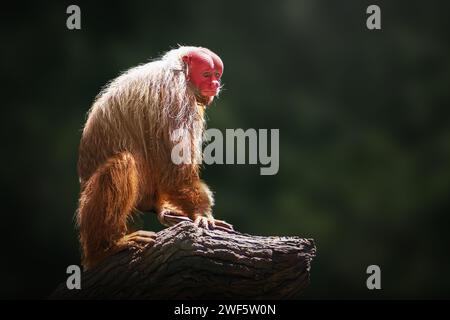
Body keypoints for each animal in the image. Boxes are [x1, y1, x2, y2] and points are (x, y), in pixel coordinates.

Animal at [76, 45, 234, 270]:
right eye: (206, 75)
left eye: (216, 75)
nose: (215, 84)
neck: (182, 73)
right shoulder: (177, 97)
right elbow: (176, 172)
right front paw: (202, 213)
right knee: (122, 164)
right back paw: (105, 248)